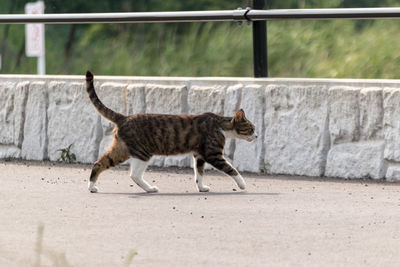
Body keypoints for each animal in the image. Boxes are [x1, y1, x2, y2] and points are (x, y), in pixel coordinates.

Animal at [86, 70, 258, 194]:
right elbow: (231, 169)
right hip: (142, 152)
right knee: (134, 174)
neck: (220, 125)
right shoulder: (213, 155)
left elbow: (199, 174)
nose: (257, 136)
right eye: (252, 128)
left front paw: (201, 188)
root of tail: (125, 117)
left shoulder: (199, 155)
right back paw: (150, 188)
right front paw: (242, 184)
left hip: (122, 149)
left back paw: (92, 187)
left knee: (100, 163)